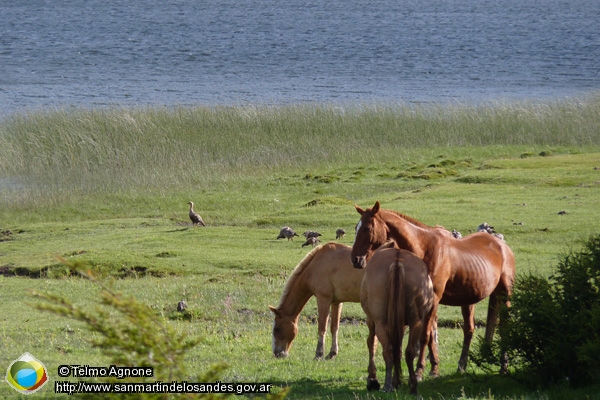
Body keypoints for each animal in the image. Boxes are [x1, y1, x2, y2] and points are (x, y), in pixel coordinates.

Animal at [352, 202, 516, 374]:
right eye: (356, 228)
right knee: (469, 329)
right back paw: (463, 364)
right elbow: (431, 334)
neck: (424, 249)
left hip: (505, 294)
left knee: (504, 325)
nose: (355, 259)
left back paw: (504, 364)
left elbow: (425, 334)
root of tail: (502, 246)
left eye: (368, 228)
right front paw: (434, 368)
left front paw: (419, 370)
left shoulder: (434, 299)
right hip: (472, 299)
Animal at [358, 248, 434, 392]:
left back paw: (388, 385)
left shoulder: (371, 320)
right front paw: (397, 380)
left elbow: (371, 342)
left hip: (380, 323)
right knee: (408, 351)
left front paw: (372, 379)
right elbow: (397, 349)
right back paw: (411, 384)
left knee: (388, 348)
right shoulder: (401, 325)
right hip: (415, 323)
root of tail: (397, 262)